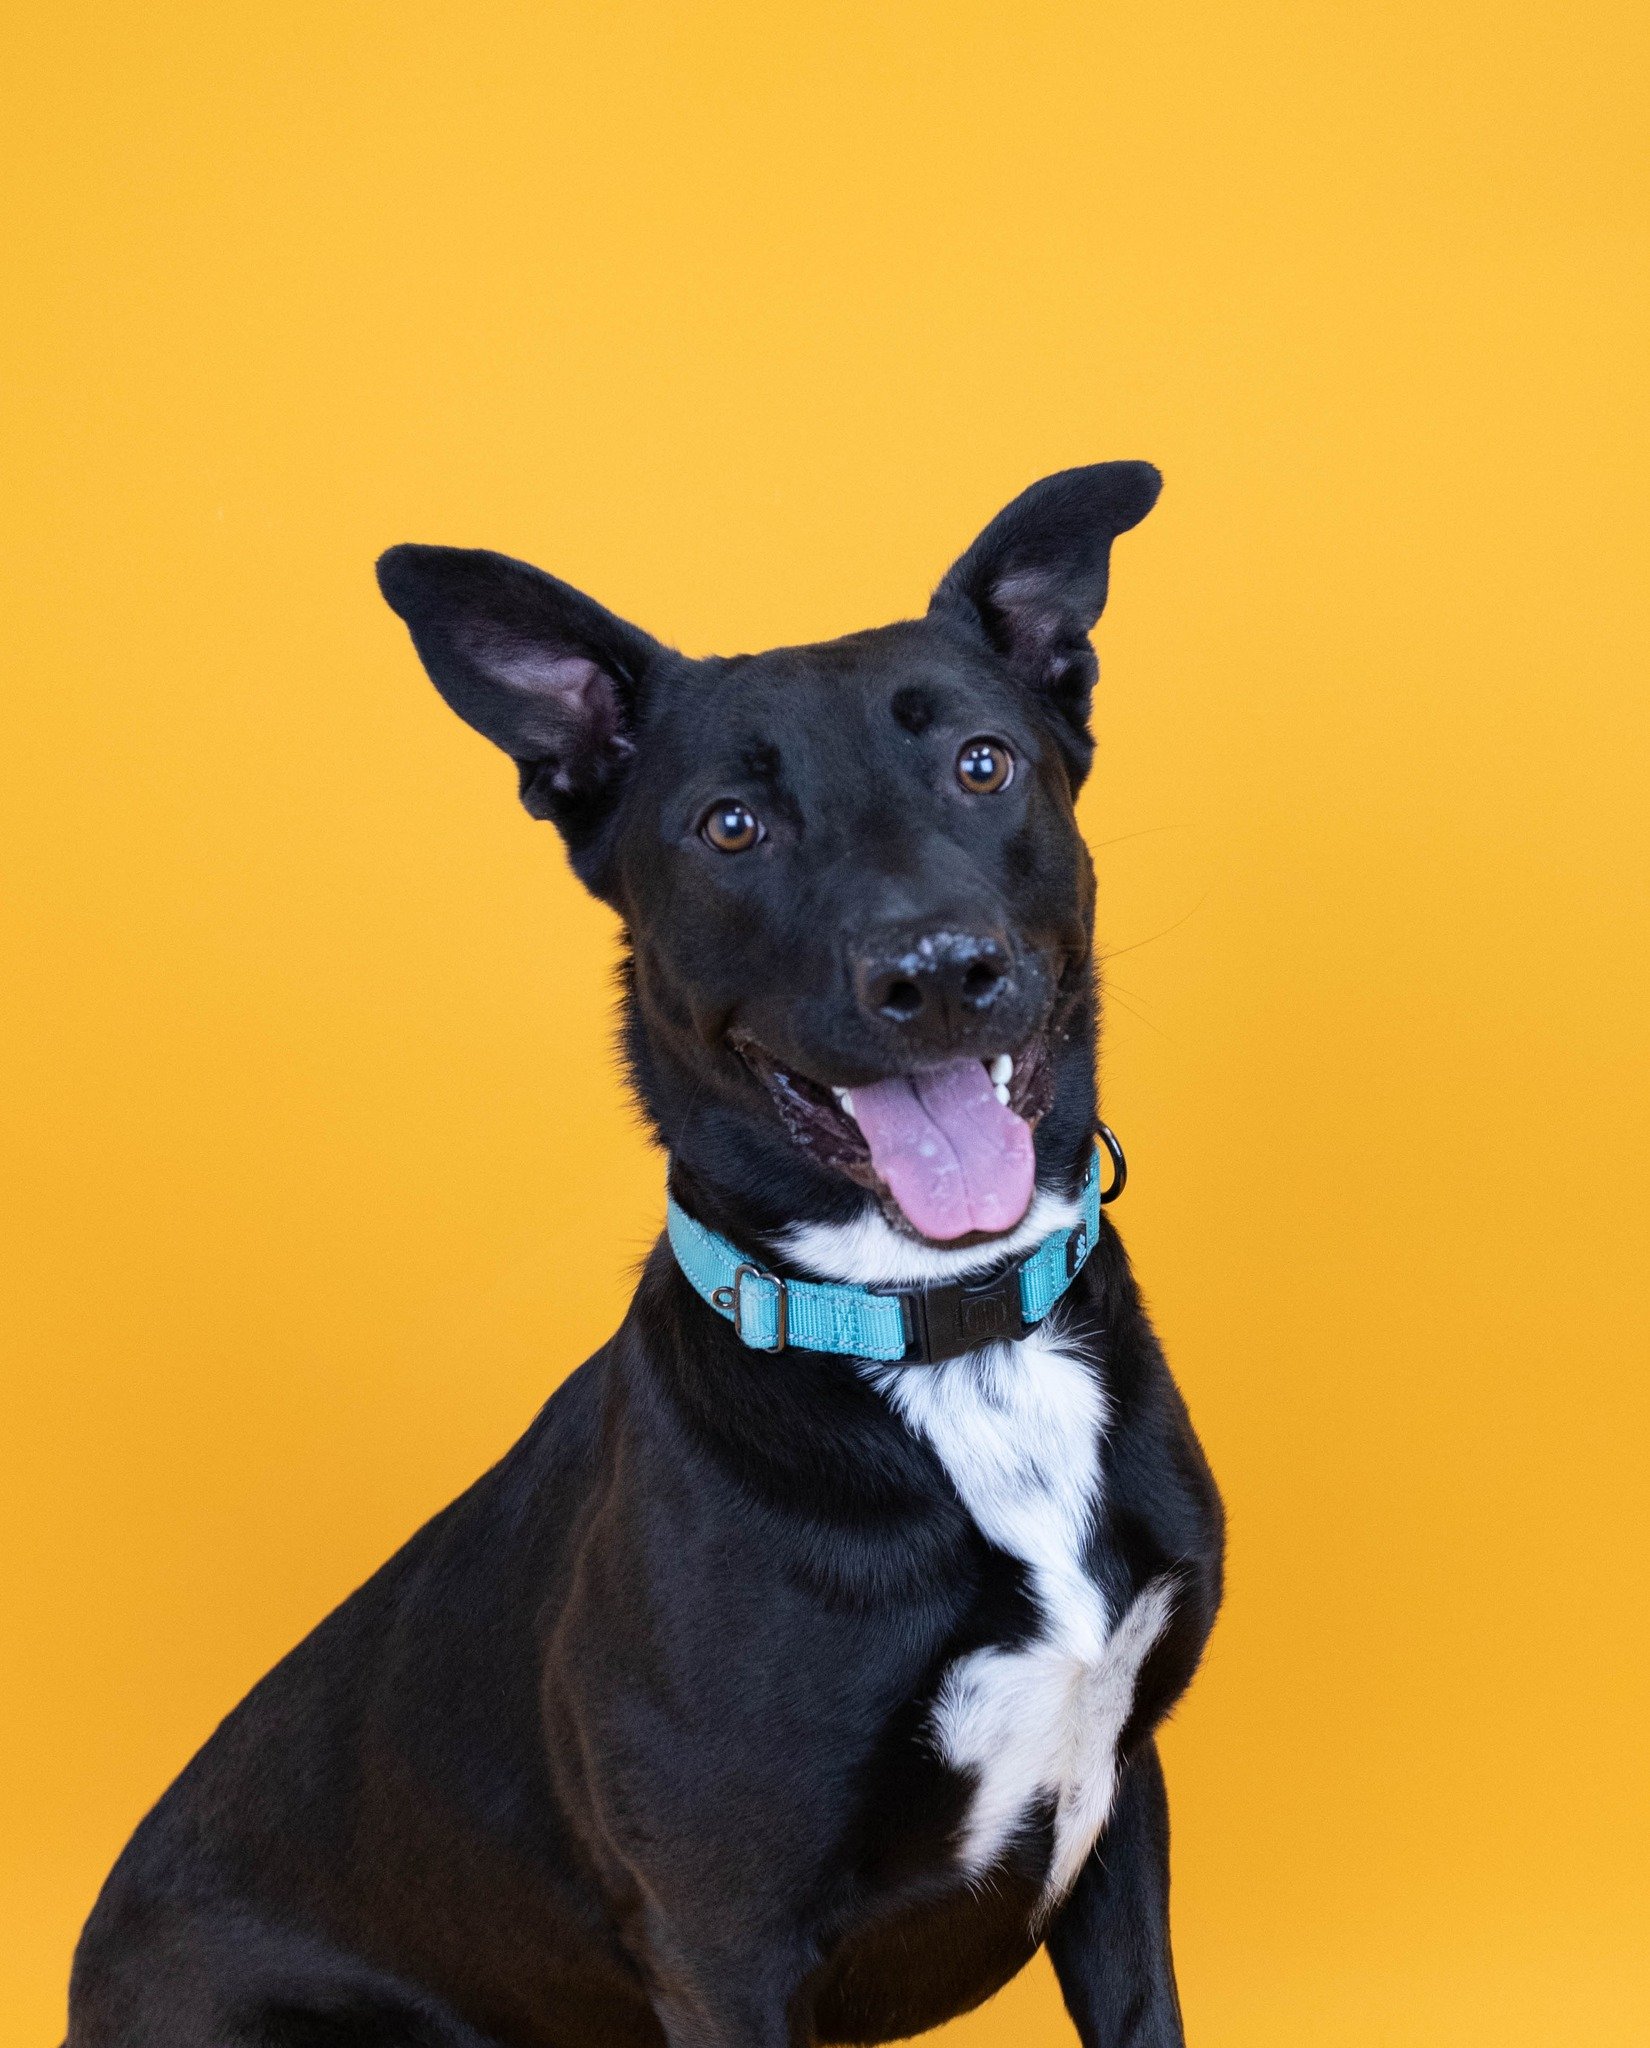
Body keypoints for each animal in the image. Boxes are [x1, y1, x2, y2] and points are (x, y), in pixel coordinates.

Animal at [68, 468, 1228, 2048]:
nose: (935, 973)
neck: (939, 1331)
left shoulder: (1119, 1802)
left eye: (983, 766)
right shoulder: (721, 1932)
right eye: (730, 825)